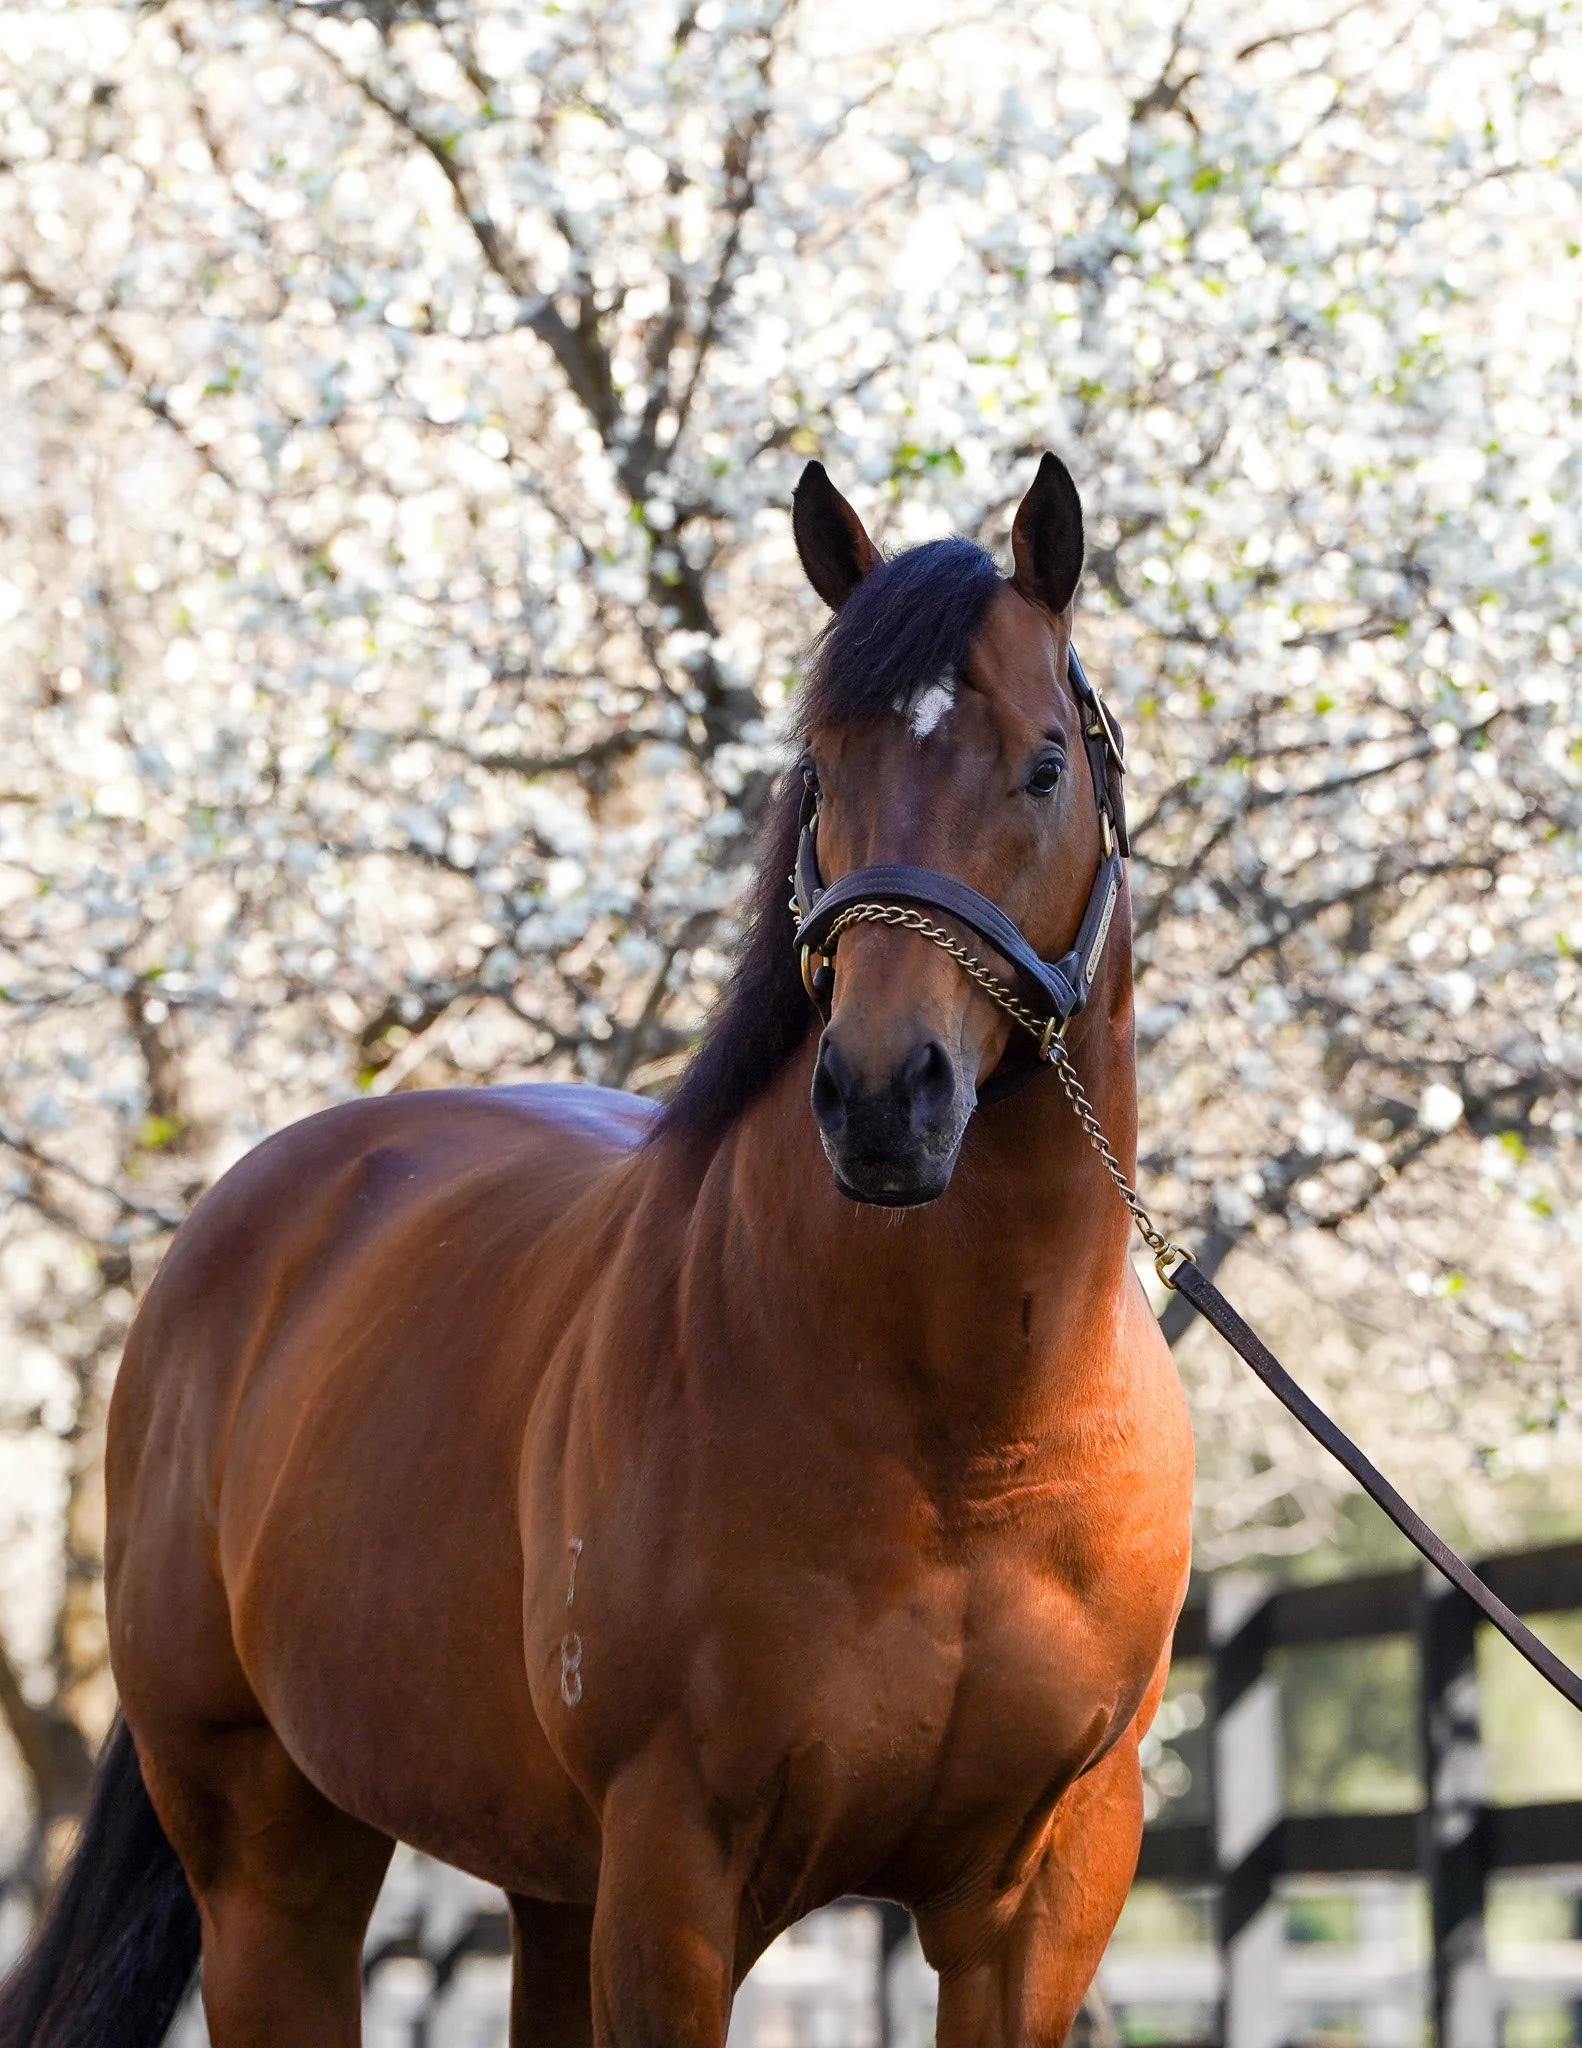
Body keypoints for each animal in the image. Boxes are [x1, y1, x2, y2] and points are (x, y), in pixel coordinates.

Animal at [0, 453, 1193, 2048]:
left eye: (1044, 765)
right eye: (822, 771)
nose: (884, 1097)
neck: (963, 1441)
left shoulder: (1039, 1906)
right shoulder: (675, 1881)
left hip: (545, 1886)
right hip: (272, 1868)